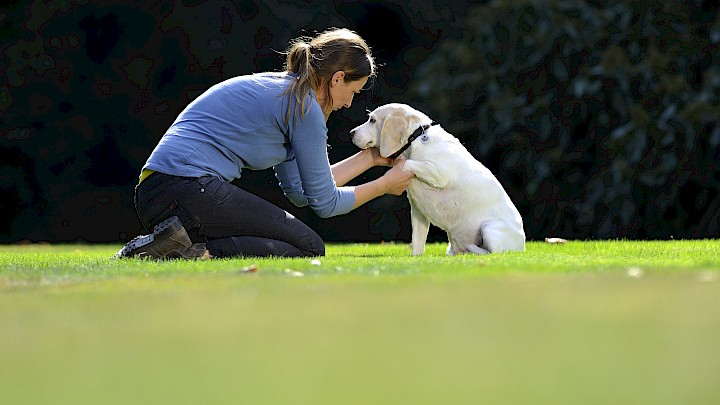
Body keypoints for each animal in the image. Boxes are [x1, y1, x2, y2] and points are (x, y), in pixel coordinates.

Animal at [352, 104, 524, 256]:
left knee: (491, 252)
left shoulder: (439, 173)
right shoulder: (418, 213)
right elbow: (417, 245)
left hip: (489, 228)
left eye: (372, 120)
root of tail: (522, 245)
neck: (416, 139)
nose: (351, 132)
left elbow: (407, 163)